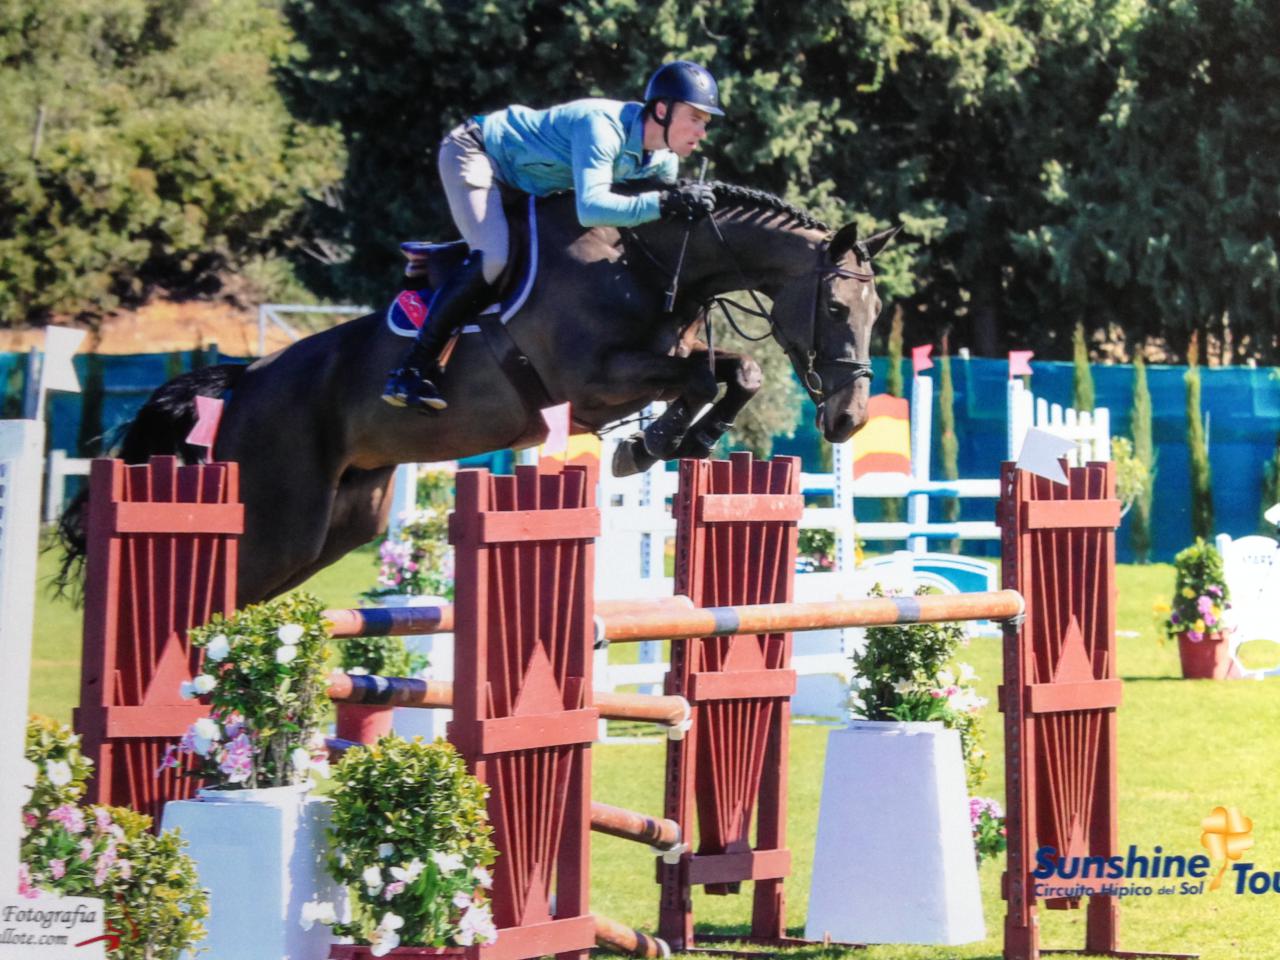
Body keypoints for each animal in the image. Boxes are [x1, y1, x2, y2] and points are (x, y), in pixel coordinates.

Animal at [62, 181, 899, 606]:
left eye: (876, 311)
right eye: (834, 308)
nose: (848, 418)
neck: (647, 259)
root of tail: (242, 383)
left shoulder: (658, 357)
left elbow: (734, 372)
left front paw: (676, 439)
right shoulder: (591, 384)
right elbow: (702, 376)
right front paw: (654, 443)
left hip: (342, 524)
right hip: (279, 521)